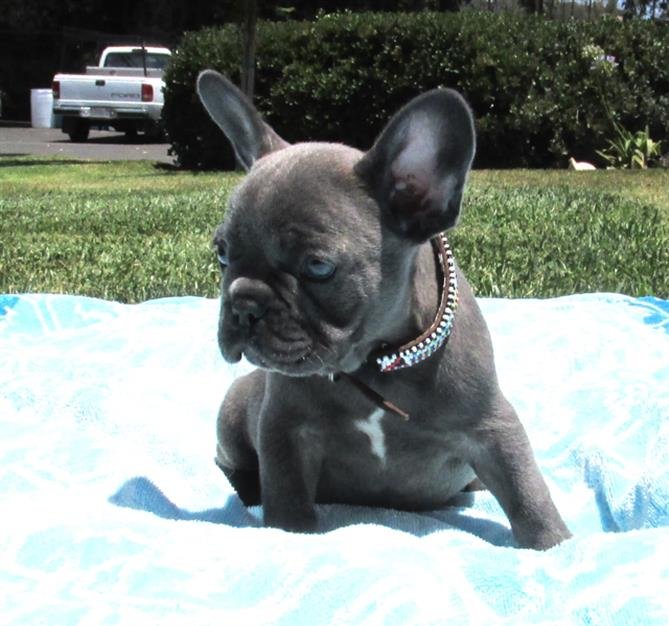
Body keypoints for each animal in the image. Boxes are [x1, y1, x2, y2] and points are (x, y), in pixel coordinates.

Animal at [197, 69, 568, 544]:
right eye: (222, 254)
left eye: (318, 267)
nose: (244, 303)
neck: (376, 360)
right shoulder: (284, 427)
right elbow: (286, 497)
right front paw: (291, 535)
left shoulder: (493, 428)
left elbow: (526, 491)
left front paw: (554, 545)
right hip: (233, 407)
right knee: (230, 463)